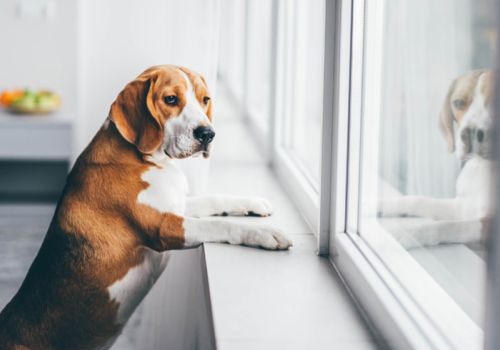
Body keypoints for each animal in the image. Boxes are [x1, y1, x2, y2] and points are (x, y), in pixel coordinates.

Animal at [0, 65, 292, 350]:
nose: (208, 134)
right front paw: (266, 234)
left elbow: (214, 200)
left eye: (205, 99)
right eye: (171, 99)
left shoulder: (177, 205)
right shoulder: (164, 227)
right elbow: (218, 225)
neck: (147, 159)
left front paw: (253, 203)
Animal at [380, 69, 494, 249]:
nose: (469, 133)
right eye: (458, 103)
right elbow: (418, 201)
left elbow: (447, 226)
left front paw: (407, 234)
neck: (485, 168)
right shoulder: (462, 206)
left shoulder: (487, 226)